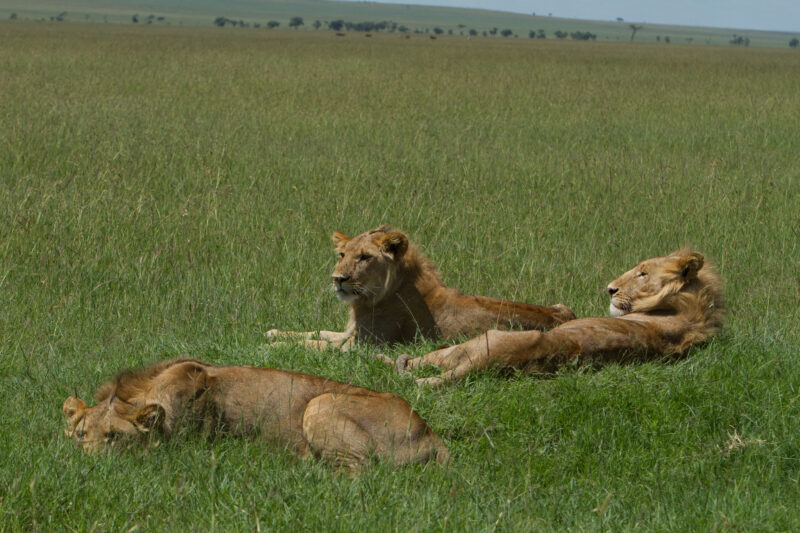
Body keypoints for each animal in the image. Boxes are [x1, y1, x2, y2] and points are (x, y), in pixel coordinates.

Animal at [62, 359, 449, 470]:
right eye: (81, 435)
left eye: (114, 438)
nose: (86, 463)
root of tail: (432, 433)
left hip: (321, 402)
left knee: (360, 474)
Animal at [267, 225, 575, 349]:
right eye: (342, 255)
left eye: (365, 257)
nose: (337, 279)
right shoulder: (351, 334)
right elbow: (318, 332)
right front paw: (275, 333)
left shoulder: (364, 345)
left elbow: (315, 343)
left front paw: (277, 345)